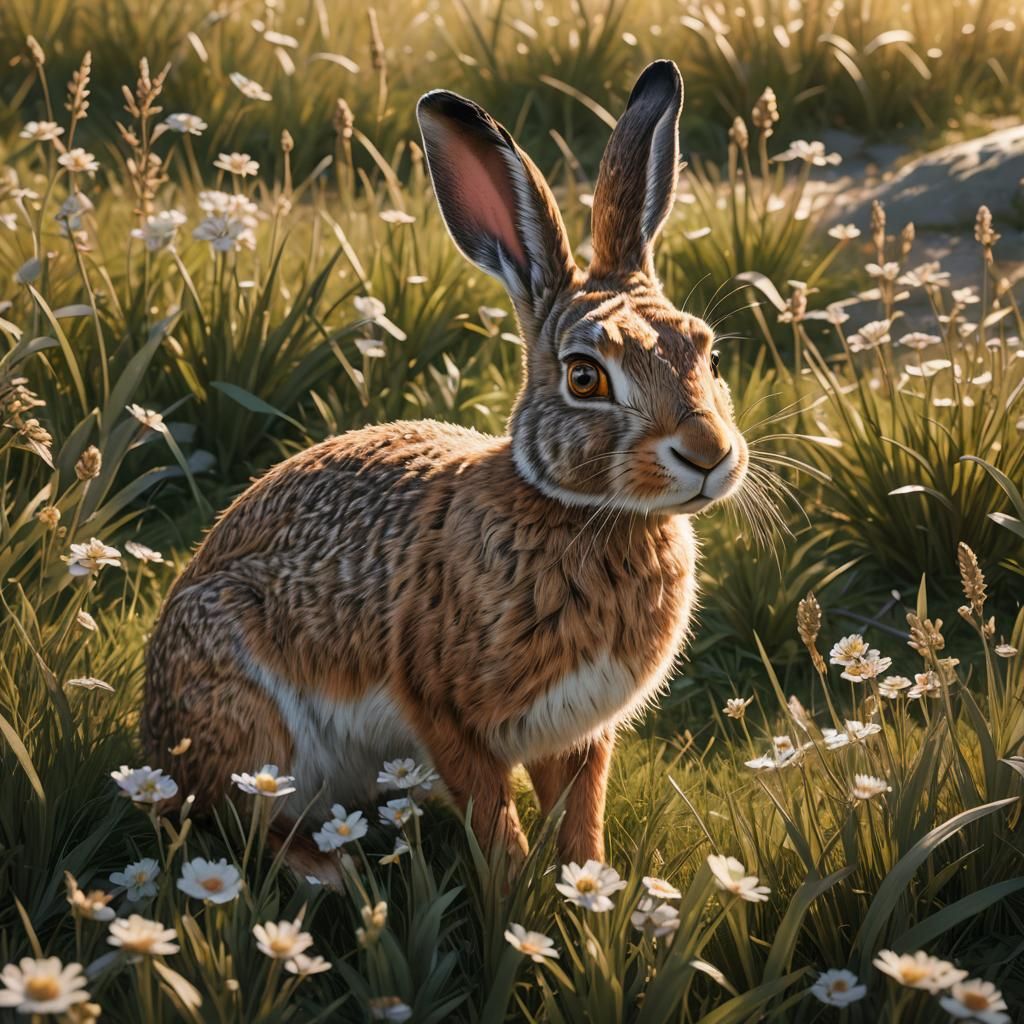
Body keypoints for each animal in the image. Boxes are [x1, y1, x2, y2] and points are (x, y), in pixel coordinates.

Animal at [141, 59, 748, 877]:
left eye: (706, 354)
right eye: (585, 377)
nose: (709, 454)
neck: (576, 511)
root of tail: (152, 739)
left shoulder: (579, 729)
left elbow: (579, 815)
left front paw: (588, 888)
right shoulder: (442, 710)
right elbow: (492, 818)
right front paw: (517, 895)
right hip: (252, 720)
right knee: (235, 815)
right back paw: (326, 871)